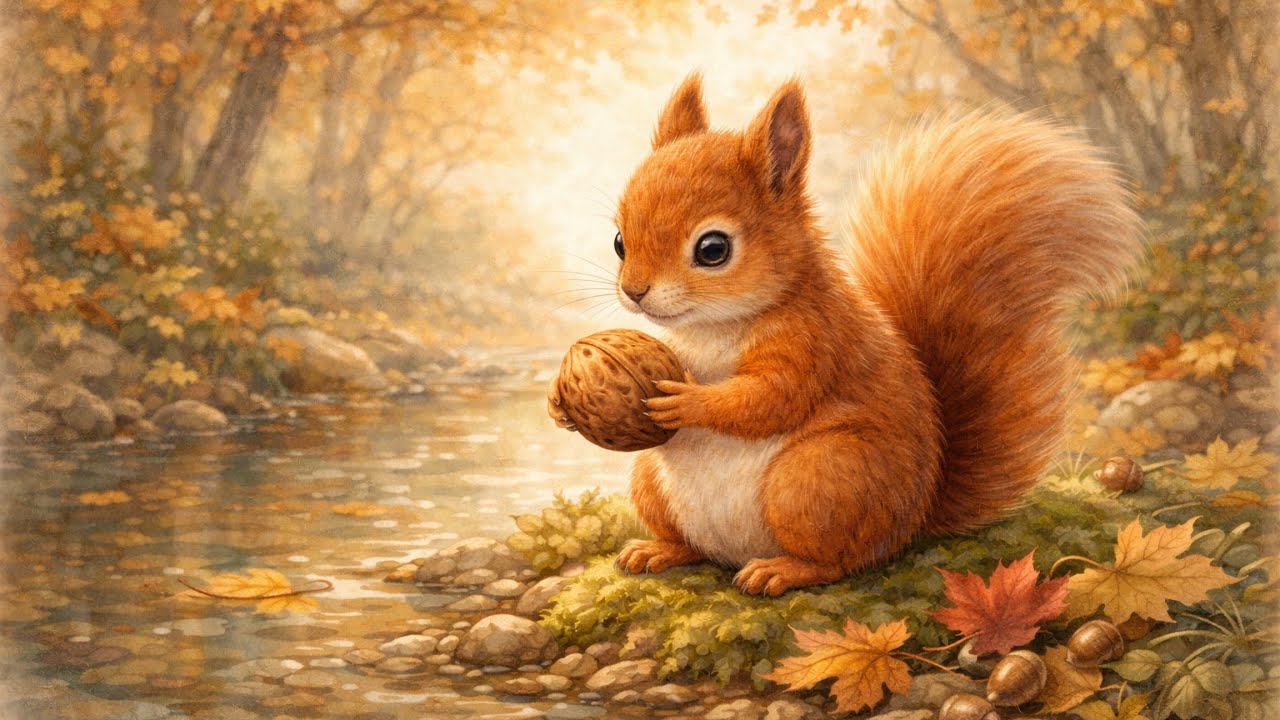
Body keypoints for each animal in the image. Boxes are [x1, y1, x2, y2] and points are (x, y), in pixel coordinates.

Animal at [549, 74, 1141, 596]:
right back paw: (659, 550)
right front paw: (558, 402)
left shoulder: (815, 339)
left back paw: (782, 571)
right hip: (654, 482)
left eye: (713, 249)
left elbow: (771, 397)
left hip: (819, 479)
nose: (635, 292)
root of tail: (913, 520)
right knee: (694, 544)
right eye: (619, 241)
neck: (709, 326)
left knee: (839, 559)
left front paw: (690, 402)